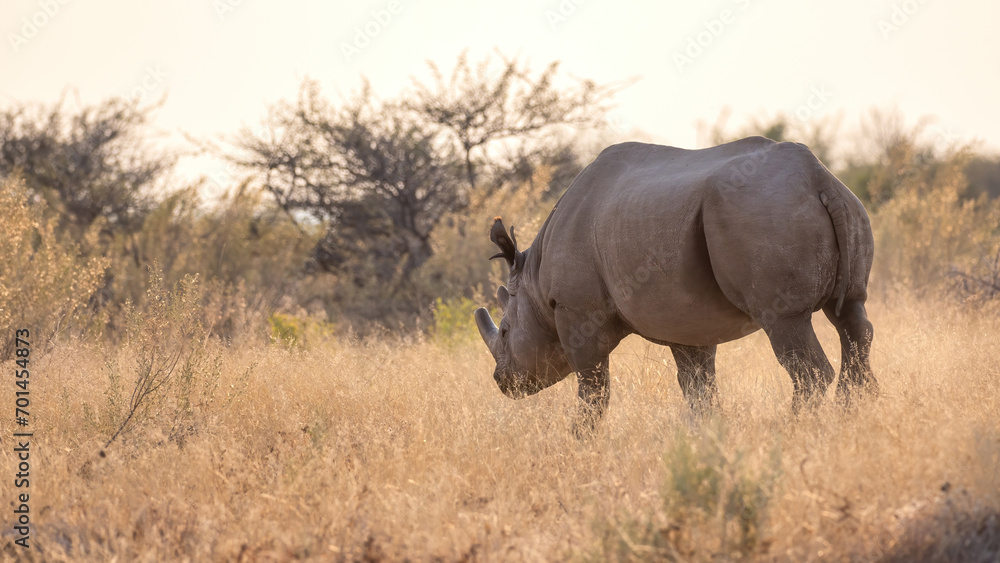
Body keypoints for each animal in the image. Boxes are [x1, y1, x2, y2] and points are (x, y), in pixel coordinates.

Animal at [474, 137, 876, 429]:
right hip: (841, 206)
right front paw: (705, 435)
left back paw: (795, 428)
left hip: (766, 213)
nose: (501, 380)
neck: (534, 283)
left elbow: (593, 387)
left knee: (789, 327)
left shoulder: (577, 310)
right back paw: (855, 413)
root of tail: (818, 178)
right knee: (851, 315)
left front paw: (579, 441)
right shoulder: (688, 319)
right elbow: (698, 385)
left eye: (506, 332)